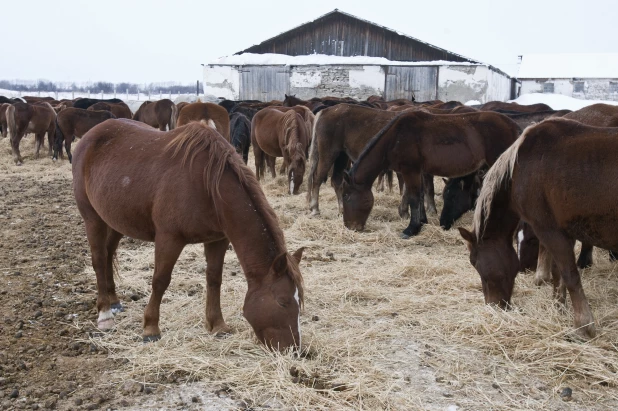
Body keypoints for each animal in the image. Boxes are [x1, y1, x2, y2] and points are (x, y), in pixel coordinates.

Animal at [73, 119, 304, 350]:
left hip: (116, 220)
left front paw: (217, 325)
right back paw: (105, 314)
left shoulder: (218, 239)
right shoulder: (169, 238)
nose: (293, 348)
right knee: (99, 259)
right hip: (92, 218)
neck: (208, 186)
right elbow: (160, 280)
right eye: (282, 302)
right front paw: (151, 328)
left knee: (108, 253)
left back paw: (113, 300)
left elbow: (214, 279)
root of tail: (89, 136)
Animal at [306, 104, 436, 217]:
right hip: (328, 154)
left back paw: (342, 210)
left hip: (341, 156)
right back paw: (315, 209)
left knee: (336, 181)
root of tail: (326, 111)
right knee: (317, 179)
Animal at [342, 110, 520, 238]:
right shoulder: (419, 171)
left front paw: (411, 229)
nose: (350, 227)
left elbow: (414, 197)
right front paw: (422, 222)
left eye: (347, 197)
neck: (395, 137)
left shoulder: (410, 170)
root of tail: (513, 126)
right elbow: (420, 195)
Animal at [454, 117, 616, 340]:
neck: (518, 169)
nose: (493, 306)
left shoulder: (549, 231)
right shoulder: (563, 232)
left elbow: (570, 275)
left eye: (475, 263)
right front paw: (558, 306)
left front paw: (583, 326)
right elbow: (558, 273)